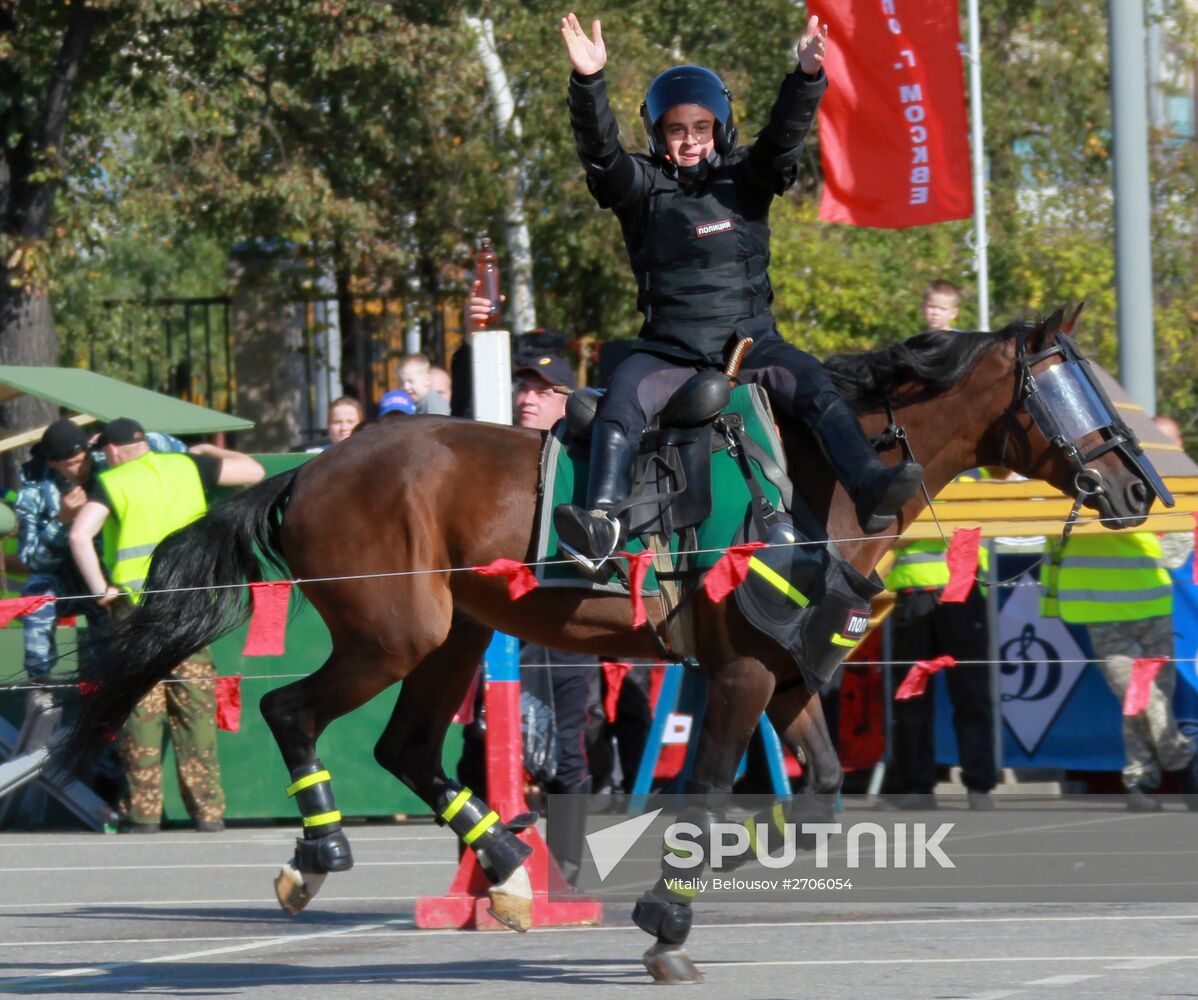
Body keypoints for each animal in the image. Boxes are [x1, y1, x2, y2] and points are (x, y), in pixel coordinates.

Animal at [58, 308, 1159, 982]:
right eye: (1069, 389)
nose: (1138, 486)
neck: (825, 476)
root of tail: (316, 465)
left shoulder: (794, 674)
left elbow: (813, 794)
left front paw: (706, 868)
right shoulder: (742, 673)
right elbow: (711, 784)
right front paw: (668, 921)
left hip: (458, 636)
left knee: (404, 746)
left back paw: (505, 867)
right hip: (394, 633)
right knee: (294, 709)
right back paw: (324, 852)